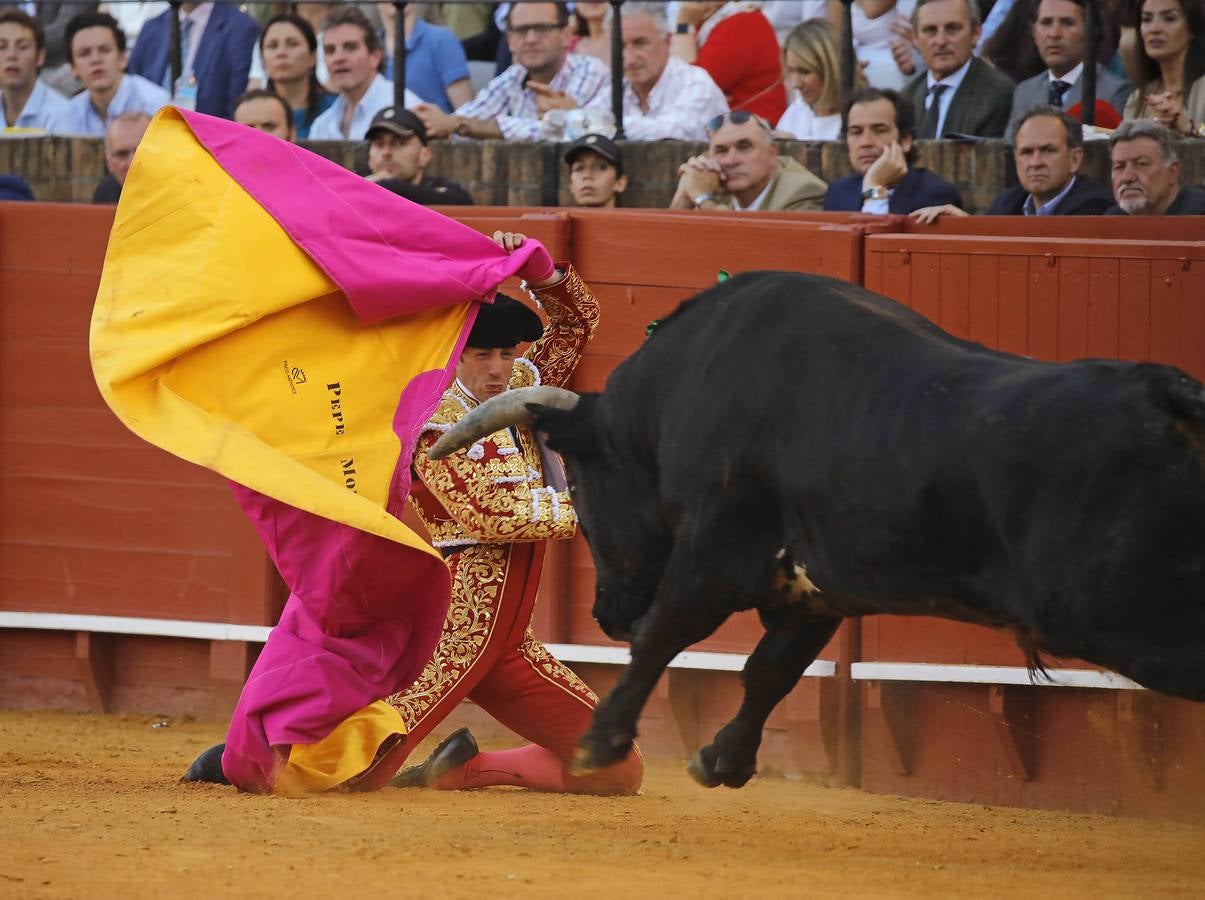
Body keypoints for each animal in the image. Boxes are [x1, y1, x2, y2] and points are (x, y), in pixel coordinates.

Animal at [433, 271, 1205, 785]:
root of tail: (1167, 392)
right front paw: (721, 759)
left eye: (589, 498)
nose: (606, 613)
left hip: (1112, 606)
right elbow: (770, 669)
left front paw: (600, 744)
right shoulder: (815, 584)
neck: (674, 395)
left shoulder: (714, 551)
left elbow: (667, 636)